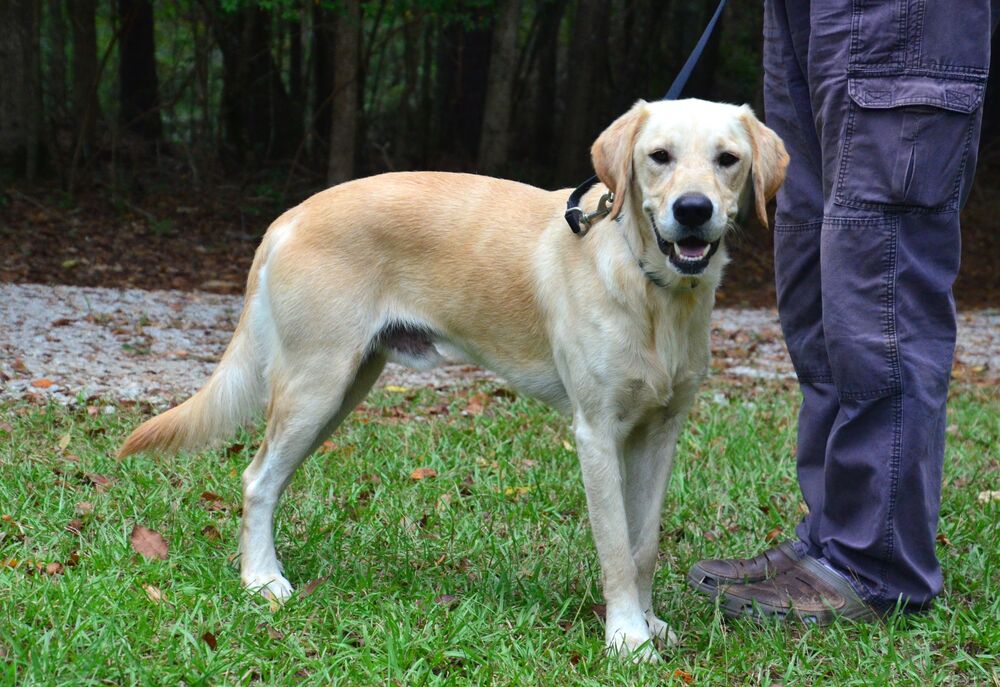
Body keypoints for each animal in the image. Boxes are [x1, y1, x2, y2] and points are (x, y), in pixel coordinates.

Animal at [119, 98, 788, 660]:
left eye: (728, 160)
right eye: (659, 156)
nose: (693, 210)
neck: (651, 291)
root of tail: (290, 215)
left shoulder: (660, 432)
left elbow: (644, 543)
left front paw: (649, 625)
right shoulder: (596, 433)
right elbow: (617, 549)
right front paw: (627, 638)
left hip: (341, 390)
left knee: (271, 479)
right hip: (315, 386)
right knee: (257, 479)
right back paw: (262, 579)